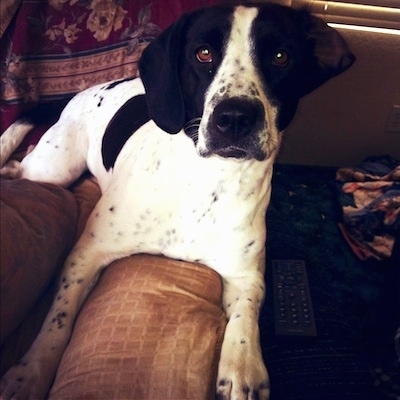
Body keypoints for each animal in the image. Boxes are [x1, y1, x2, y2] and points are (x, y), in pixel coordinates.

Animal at [0, 3, 354, 400]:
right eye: (204, 53)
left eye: (280, 57)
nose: (235, 118)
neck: (208, 181)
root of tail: (83, 90)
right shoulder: (86, 254)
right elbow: (57, 320)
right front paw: (30, 372)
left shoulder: (246, 276)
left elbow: (246, 319)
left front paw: (243, 369)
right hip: (53, 170)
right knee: (26, 163)